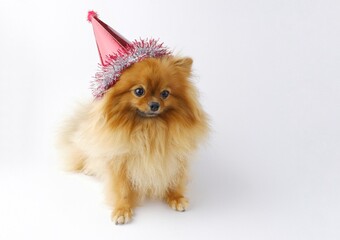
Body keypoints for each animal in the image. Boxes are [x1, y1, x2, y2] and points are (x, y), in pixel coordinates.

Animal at [57, 55, 209, 223]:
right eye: (139, 91)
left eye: (165, 93)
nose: (155, 105)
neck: (150, 130)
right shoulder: (119, 163)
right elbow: (122, 189)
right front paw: (122, 210)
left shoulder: (175, 159)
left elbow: (174, 181)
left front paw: (176, 198)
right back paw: (88, 168)